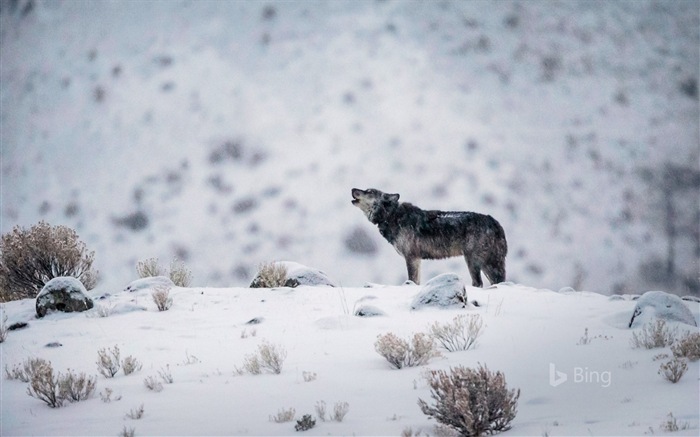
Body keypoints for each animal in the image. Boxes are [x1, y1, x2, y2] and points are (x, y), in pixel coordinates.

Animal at [352, 186, 506, 286]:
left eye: (369, 191)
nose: (353, 189)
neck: (391, 216)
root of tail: (495, 222)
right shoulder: (417, 259)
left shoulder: (412, 257)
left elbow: (412, 280)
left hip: (475, 261)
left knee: (480, 282)